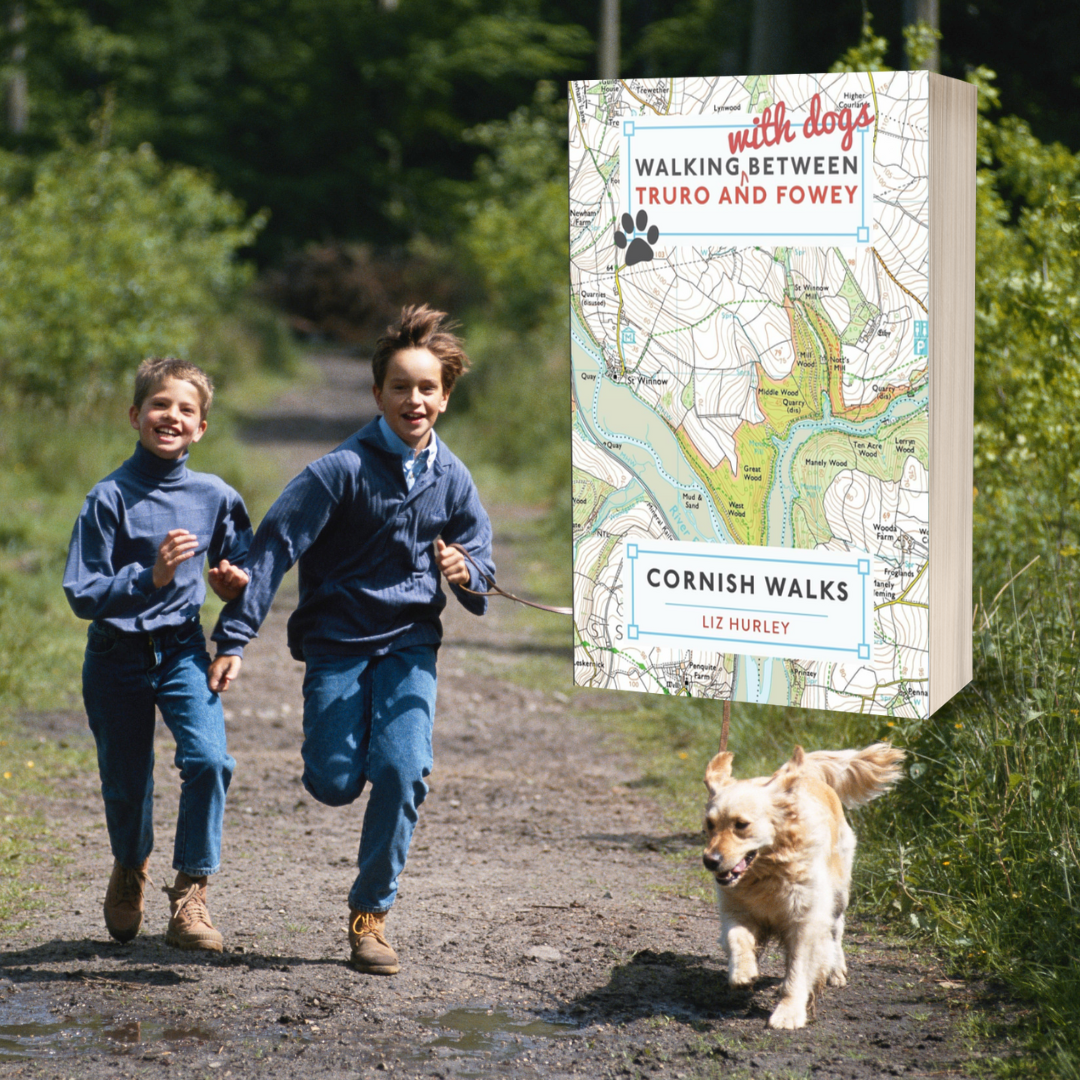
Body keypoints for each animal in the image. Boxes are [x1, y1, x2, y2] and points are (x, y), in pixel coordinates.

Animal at [704, 743, 907, 1028]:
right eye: (710, 824)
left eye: (741, 825)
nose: (710, 861)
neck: (767, 872)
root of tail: (808, 773)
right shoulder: (736, 911)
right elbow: (737, 938)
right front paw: (743, 972)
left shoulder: (805, 922)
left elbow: (798, 970)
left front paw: (788, 1013)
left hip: (838, 894)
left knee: (836, 931)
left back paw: (836, 970)